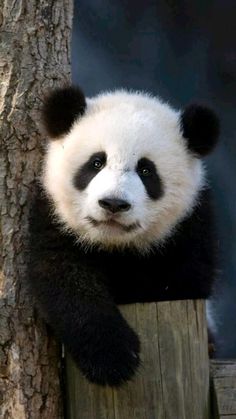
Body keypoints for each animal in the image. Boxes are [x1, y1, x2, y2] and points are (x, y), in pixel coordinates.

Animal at [27, 85, 219, 388]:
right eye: (96, 162)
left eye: (146, 170)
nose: (113, 203)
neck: (115, 245)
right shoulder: (53, 220)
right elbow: (64, 280)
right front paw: (113, 359)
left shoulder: (190, 230)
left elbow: (181, 283)